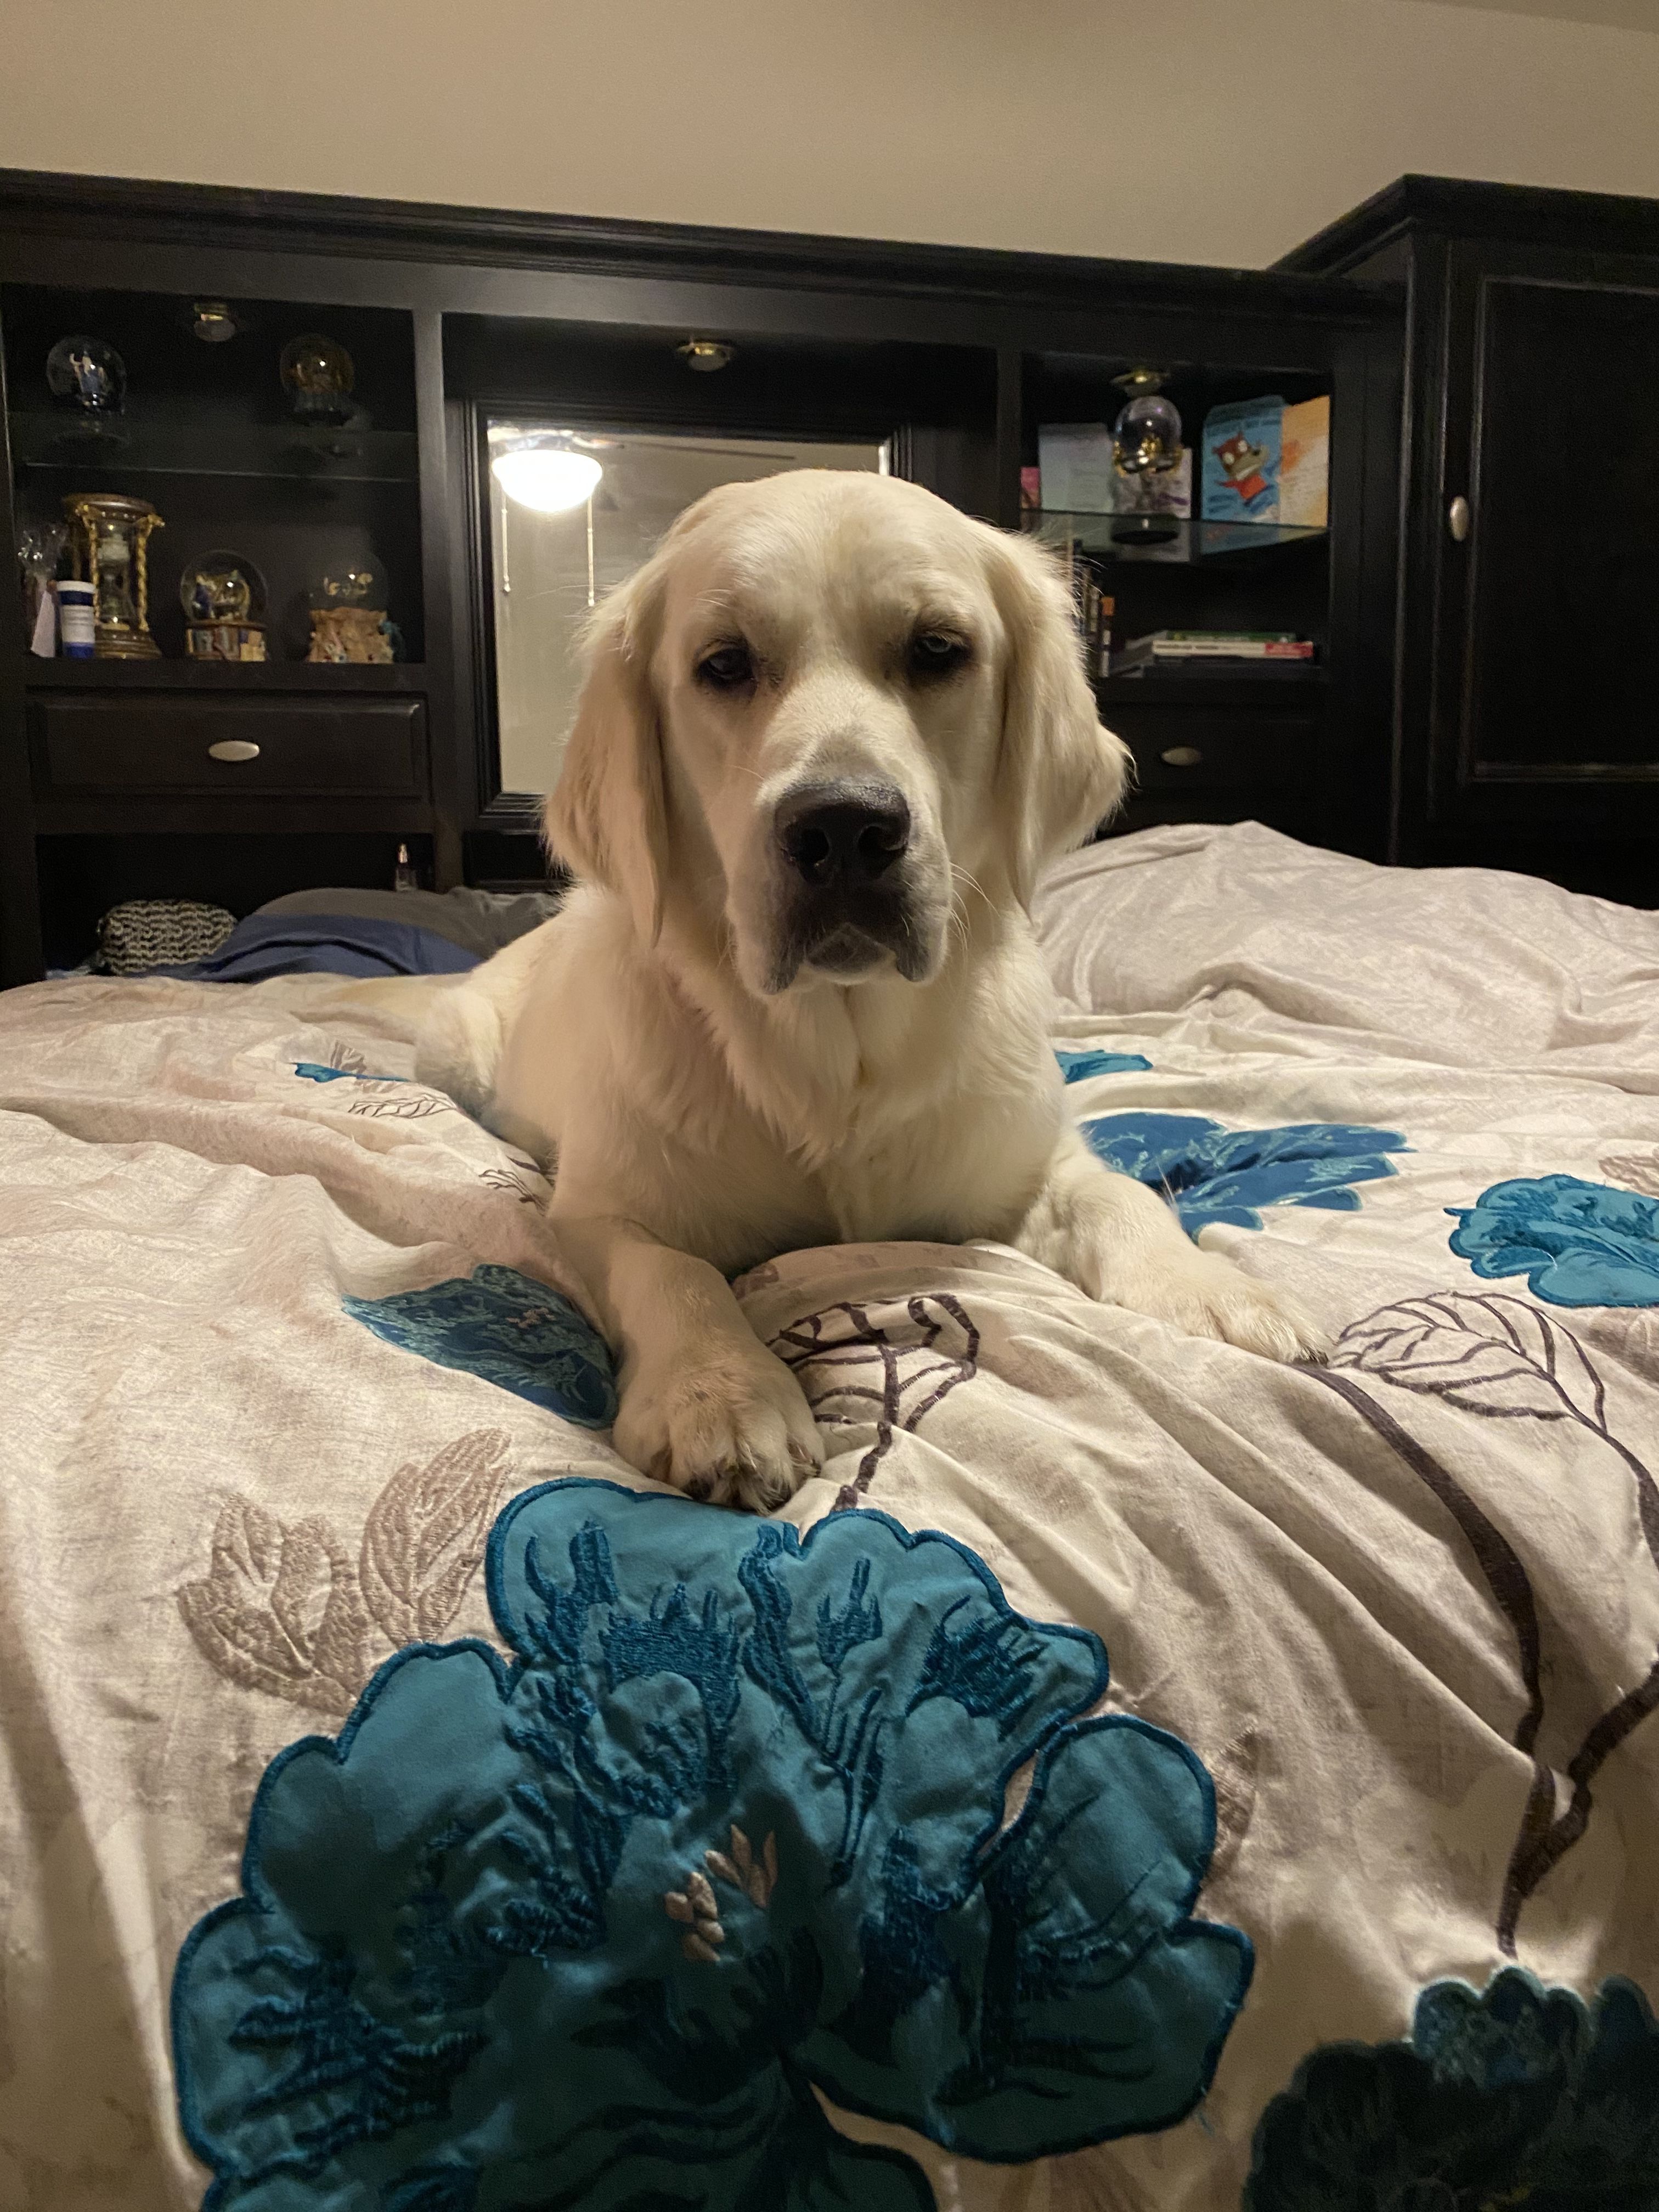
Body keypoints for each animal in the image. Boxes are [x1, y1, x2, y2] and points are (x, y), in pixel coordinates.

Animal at [411, 471, 1324, 1509]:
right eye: (724, 664)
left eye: (937, 650)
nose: (844, 829)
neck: (840, 1056)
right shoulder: (599, 1211)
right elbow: (670, 1270)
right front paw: (716, 1389)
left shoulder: (1024, 1164)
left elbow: (1120, 1192)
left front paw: (1212, 1291)